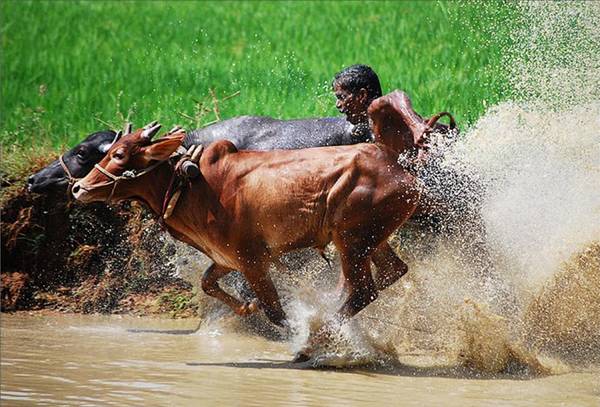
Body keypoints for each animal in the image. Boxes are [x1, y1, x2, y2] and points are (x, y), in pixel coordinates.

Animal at [72, 122, 420, 332]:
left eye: (119, 154)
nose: (78, 188)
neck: (190, 184)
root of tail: (403, 174)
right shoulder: (226, 258)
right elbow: (207, 283)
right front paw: (245, 307)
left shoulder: (253, 260)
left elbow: (276, 312)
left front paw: (295, 335)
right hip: (371, 240)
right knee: (392, 272)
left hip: (352, 242)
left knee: (363, 290)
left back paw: (319, 337)